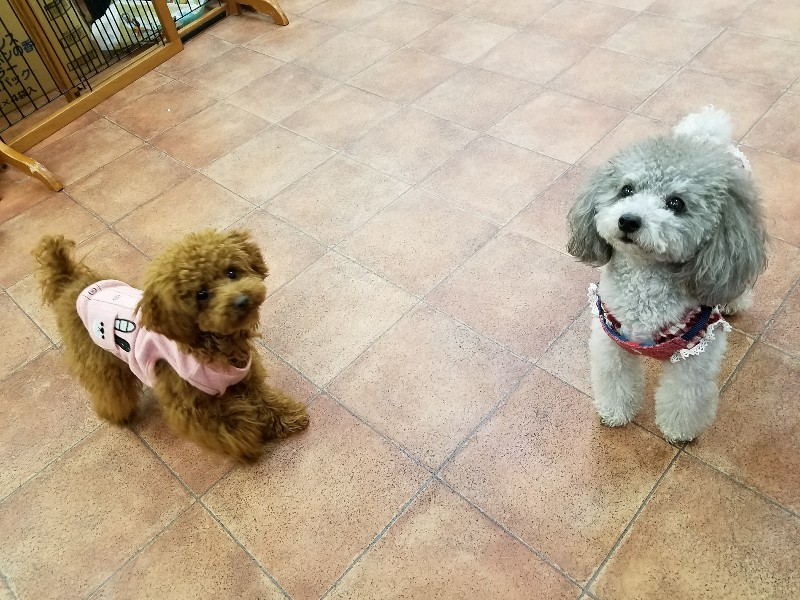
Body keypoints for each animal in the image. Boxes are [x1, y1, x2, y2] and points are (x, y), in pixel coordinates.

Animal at [34, 229, 309, 462]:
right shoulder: (190, 407)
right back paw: (117, 414)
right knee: (109, 389)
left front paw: (286, 418)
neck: (211, 345)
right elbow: (229, 427)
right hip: (101, 362)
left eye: (232, 272)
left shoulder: (246, 379)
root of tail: (72, 284)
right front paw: (249, 439)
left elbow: (265, 400)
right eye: (201, 294)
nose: (242, 301)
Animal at [566, 107, 767, 442]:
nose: (628, 220)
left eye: (676, 203)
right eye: (626, 189)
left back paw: (732, 302)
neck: (643, 280)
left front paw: (678, 432)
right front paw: (615, 413)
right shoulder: (610, 342)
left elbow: (684, 398)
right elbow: (615, 380)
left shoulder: (697, 353)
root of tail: (705, 135)